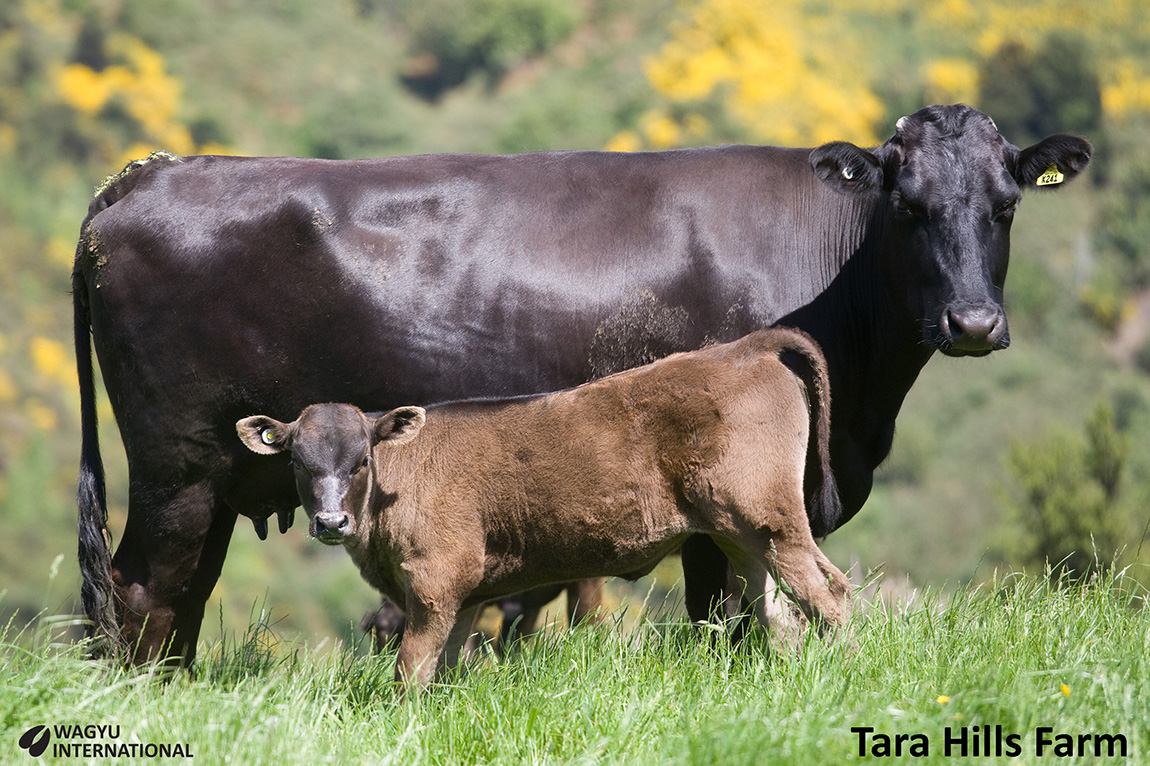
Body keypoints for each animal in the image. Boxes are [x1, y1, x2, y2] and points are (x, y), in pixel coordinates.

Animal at [235, 324, 846, 690]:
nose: (331, 521)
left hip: (772, 521)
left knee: (829, 595)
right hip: (741, 536)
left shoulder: (435, 581)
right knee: (780, 613)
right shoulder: (466, 594)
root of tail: (745, 346)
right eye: (296, 462)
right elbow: (448, 665)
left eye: (363, 458)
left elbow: (412, 667)